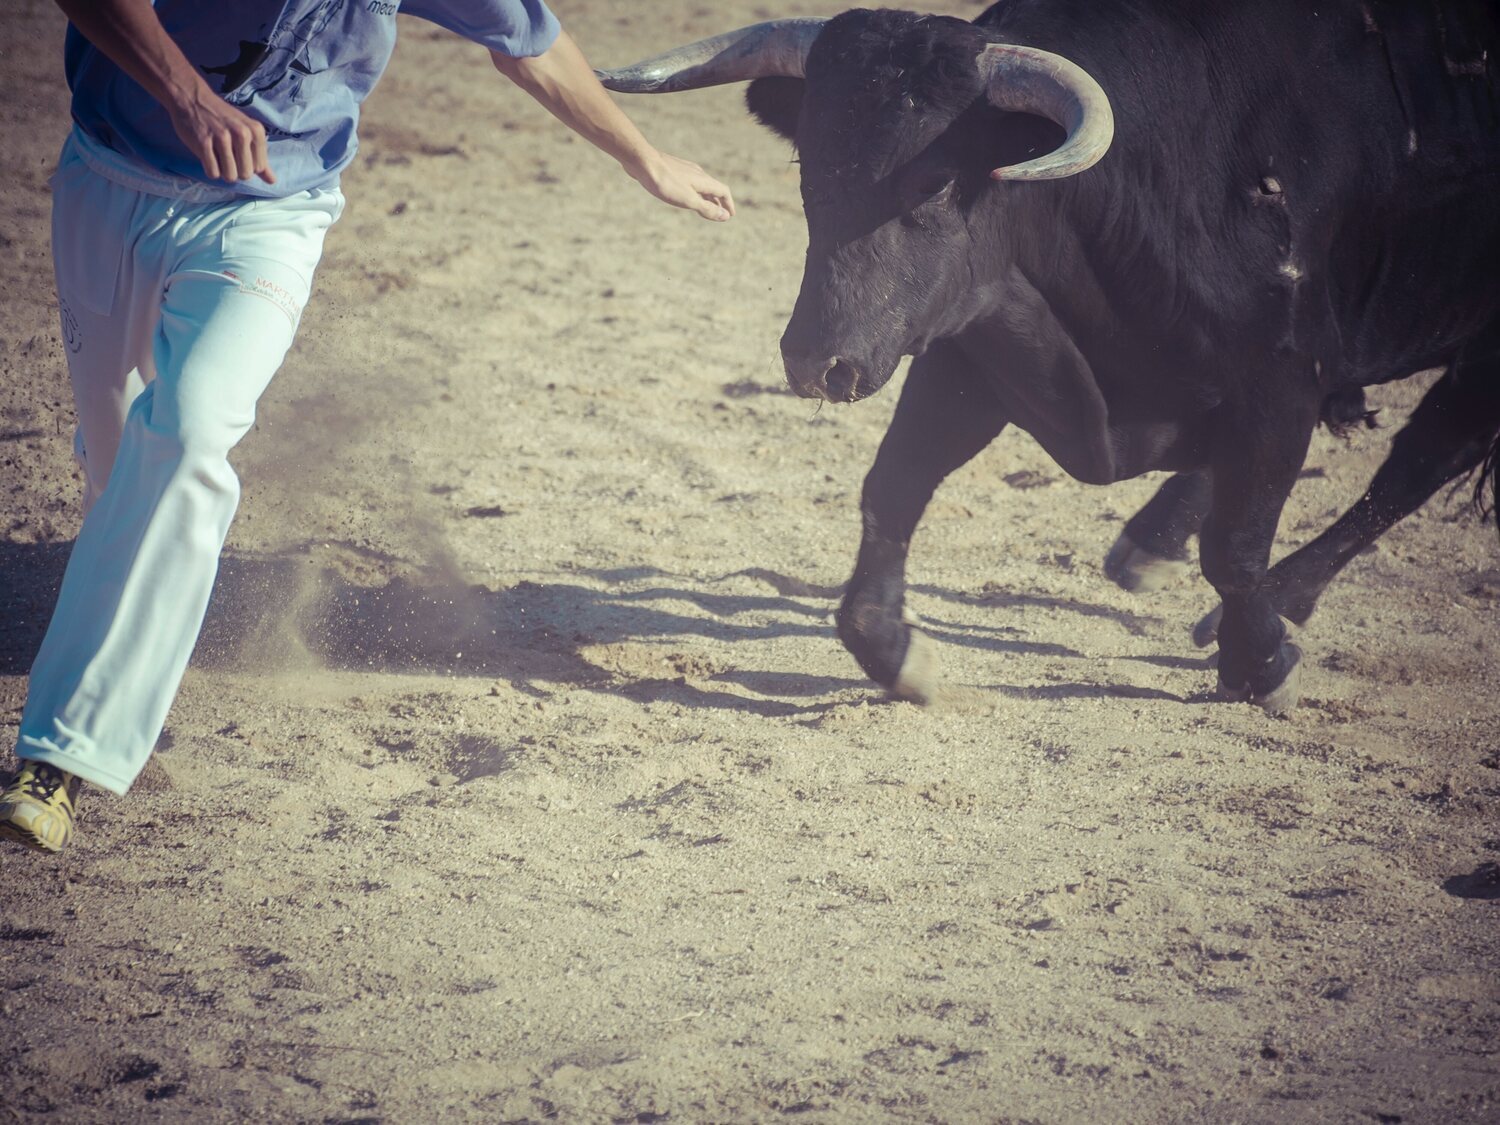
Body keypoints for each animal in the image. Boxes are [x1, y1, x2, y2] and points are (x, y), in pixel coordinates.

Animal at [603, 2, 1500, 714]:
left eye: (935, 184)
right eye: (807, 163)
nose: (815, 364)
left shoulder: (1281, 385)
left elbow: (1238, 547)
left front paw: (1262, 663)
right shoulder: (971, 350)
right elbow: (891, 490)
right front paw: (896, 652)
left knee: (1421, 459)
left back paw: (1265, 603)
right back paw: (1156, 541)